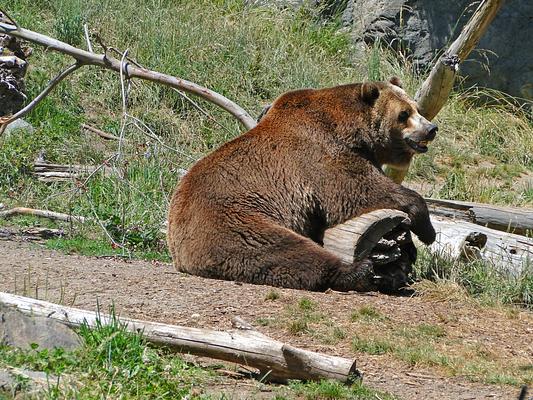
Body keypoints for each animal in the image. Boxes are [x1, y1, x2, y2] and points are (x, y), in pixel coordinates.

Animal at [167, 78, 436, 292]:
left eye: (417, 108)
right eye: (404, 114)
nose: (431, 128)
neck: (351, 128)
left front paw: (410, 248)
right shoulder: (322, 154)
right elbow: (360, 190)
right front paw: (427, 230)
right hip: (234, 219)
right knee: (281, 250)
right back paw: (359, 271)